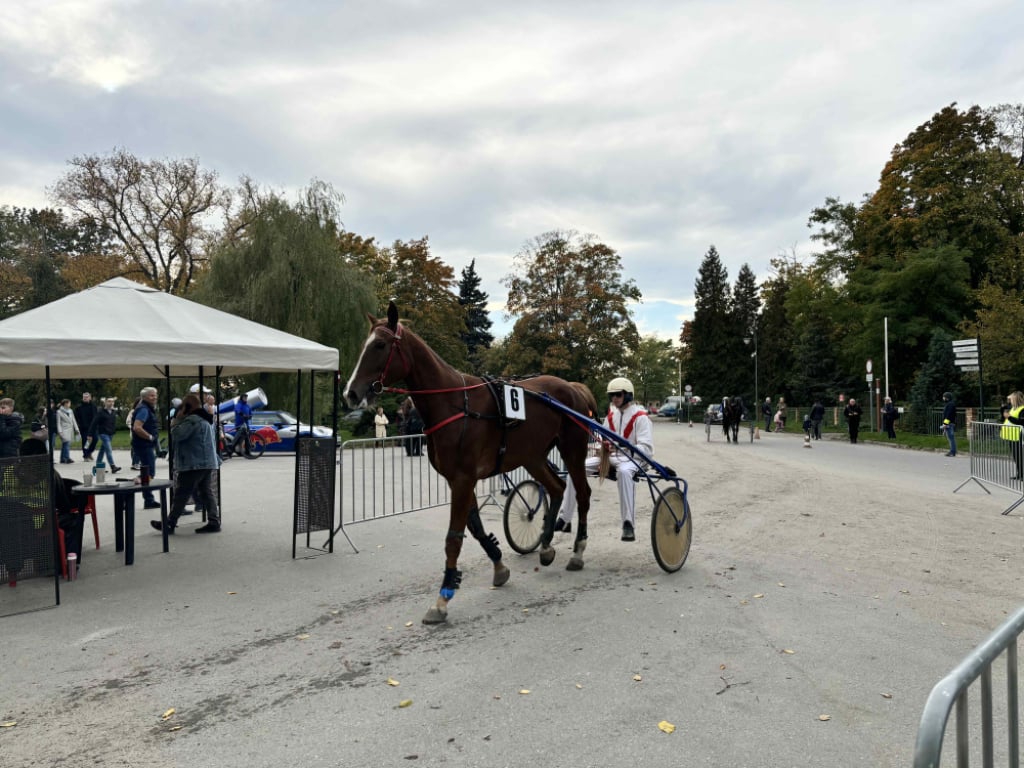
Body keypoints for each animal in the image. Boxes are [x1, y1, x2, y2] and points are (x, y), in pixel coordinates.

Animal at [344, 303, 598, 626]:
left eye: (379, 345)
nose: (351, 393)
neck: (455, 404)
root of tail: (573, 387)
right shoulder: (459, 479)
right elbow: (475, 527)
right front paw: (499, 566)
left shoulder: (464, 478)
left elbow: (454, 538)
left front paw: (442, 598)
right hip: (533, 456)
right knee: (556, 488)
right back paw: (546, 546)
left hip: (573, 450)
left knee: (582, 493)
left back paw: (578, 551)